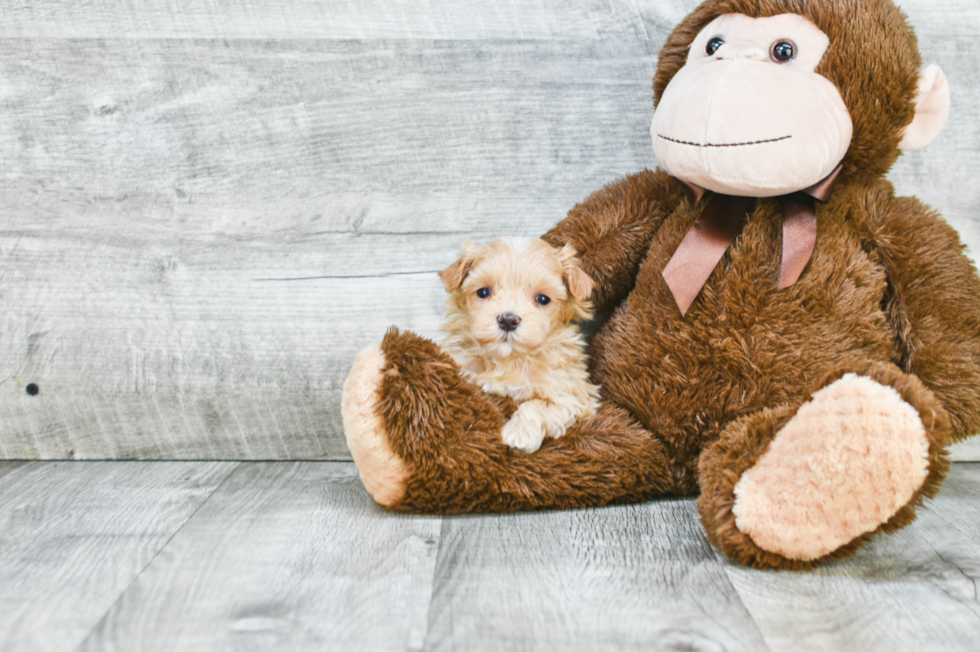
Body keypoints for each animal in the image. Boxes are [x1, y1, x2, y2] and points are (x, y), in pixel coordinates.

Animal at [440, 236, 600, 454]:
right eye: (483, 292)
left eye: (543, 299)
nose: (508, 320)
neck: (508, 359)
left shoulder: (573, 396)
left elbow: (536, 404)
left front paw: (519, 434)